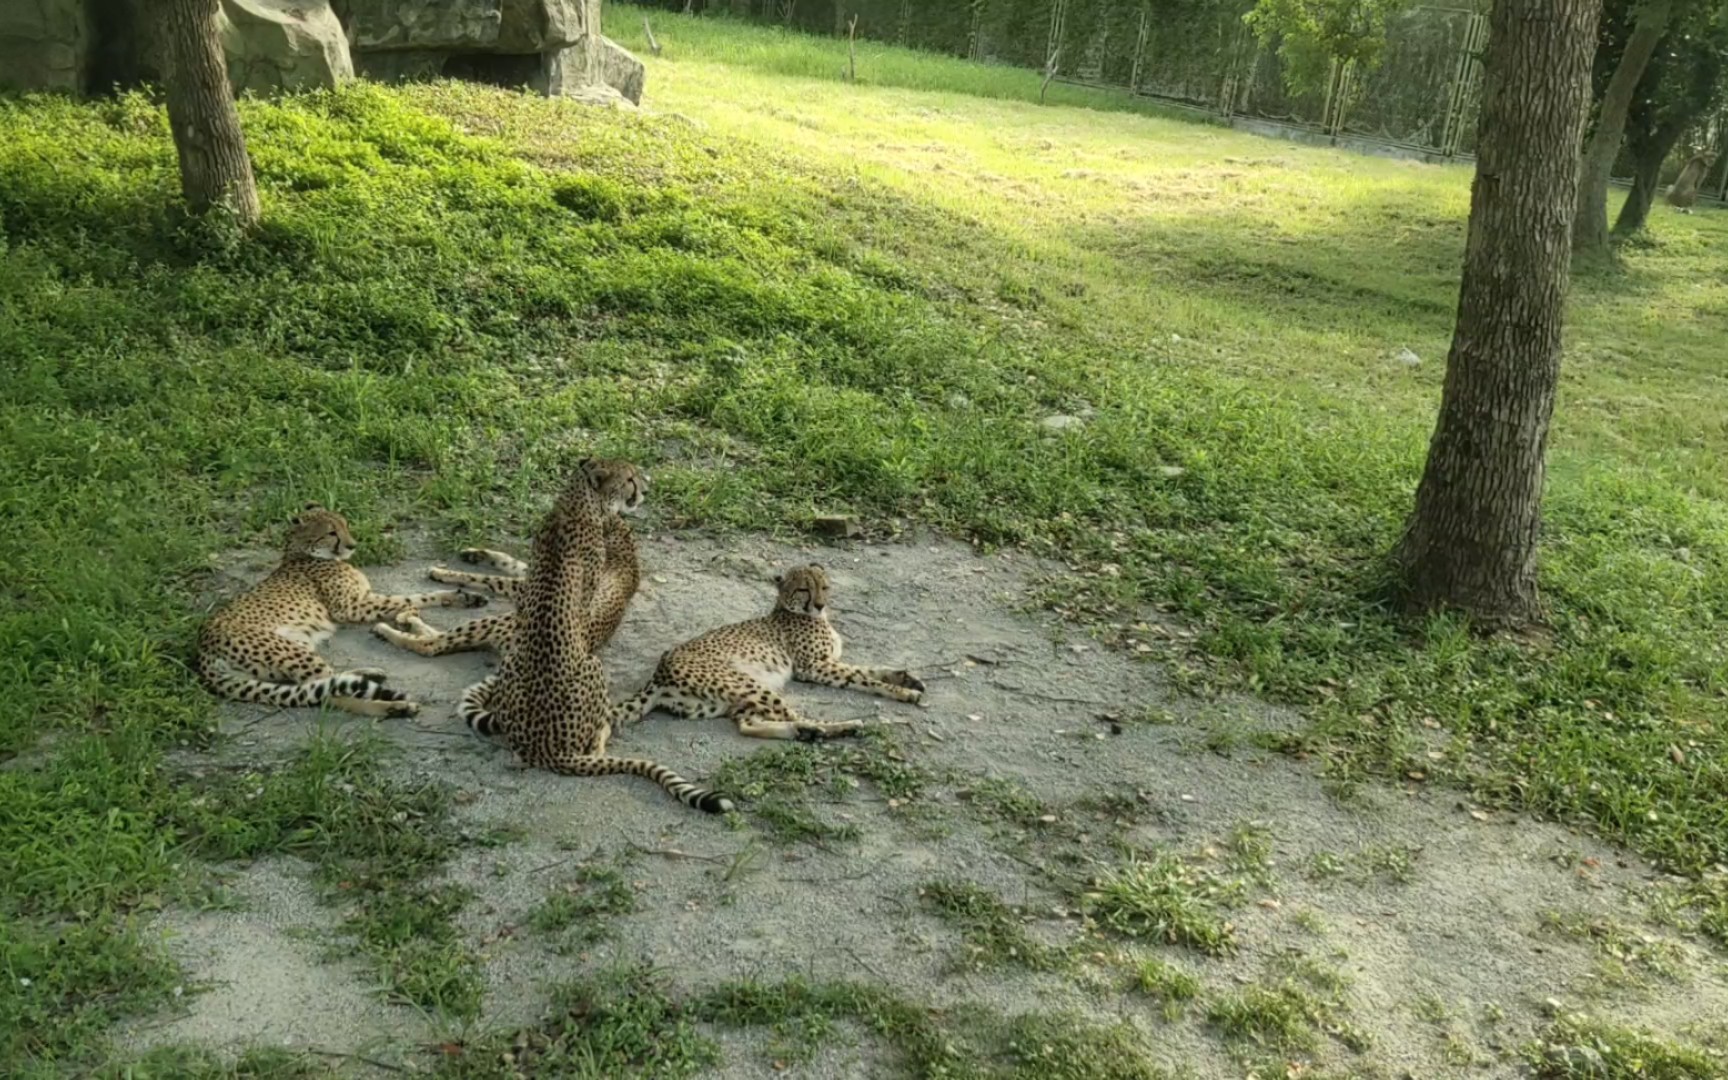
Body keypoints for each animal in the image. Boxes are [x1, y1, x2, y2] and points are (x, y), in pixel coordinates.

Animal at [200, 504, 487, 715]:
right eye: (330, 533)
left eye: (345, 525)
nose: (352, 545)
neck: (302, 553)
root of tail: (201, 652)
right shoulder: (352, 607)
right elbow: (409, 598)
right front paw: (461, 596)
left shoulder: (363, 598)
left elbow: (409, 598)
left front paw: (465, 597)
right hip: (292, 651)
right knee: (328, 695)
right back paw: (394, 707)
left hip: (294, 651)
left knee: (323, 685)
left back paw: (369, 674)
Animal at [371, 487, 642, 656]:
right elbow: (507, 561)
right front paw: (473, 554)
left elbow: (488, 578)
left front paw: (447, 573)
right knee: (440, 636)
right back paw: (408, 617)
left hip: (499, 621)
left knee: (431, 644)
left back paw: (387, 629)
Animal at [452, 459, 729, 812]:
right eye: (629, 478)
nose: (647, 487)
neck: (575, 505)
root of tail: (548, 751)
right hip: (594, 667)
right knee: (595, 743)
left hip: (512, 665)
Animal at [618, 563, 926, 739]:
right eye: (804, 589)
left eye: (825, 587)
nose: (820, 604)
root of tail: (659, 671)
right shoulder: (813, 667)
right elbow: (864, 678)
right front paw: (904, 692)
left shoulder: (828, 661)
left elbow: (869, 670)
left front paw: (905, 678)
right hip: (749, 685)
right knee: (790, 714)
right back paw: (835, 727)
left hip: (728, 700)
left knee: (746, 725)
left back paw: (804, 732)